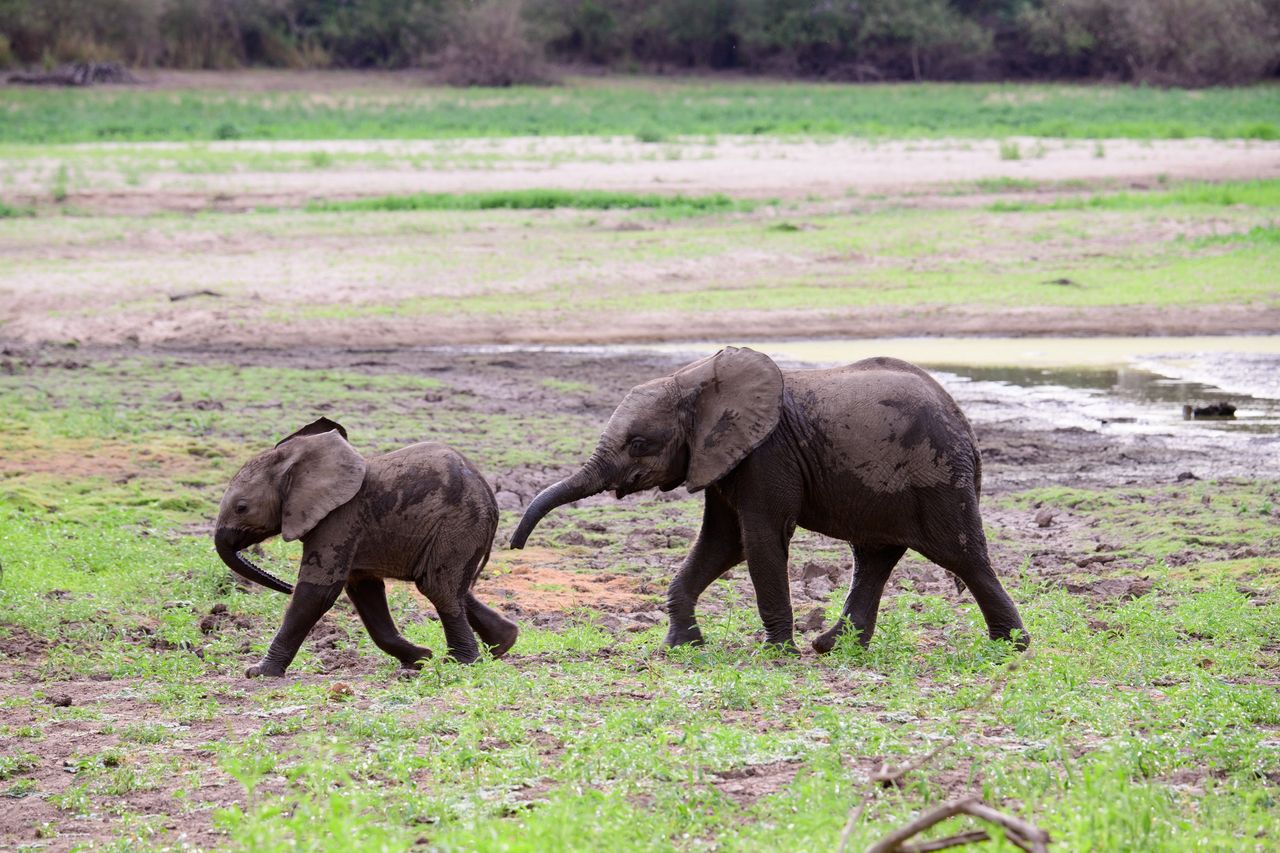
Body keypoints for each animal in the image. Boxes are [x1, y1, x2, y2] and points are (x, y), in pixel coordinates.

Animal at [213, 414, 514, 676]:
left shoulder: (341, 518)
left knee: (438, 587)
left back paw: (462, 663)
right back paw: (502, 644)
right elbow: (364, 591)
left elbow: (317, 592)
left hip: (459, 524)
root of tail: (488, 493)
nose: (286, 587)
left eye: (241, 508)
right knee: (448, 586)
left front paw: (258, 673)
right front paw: (419, 658)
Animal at [509, 345, 1029, 650]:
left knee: (963, 556)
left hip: (936, 476)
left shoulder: (766, 455)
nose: (513, 546)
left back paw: (1011, 648)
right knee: (875, 558)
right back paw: (833, 647)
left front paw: (777, 652)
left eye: (638, 444)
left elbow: (759, 540)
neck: (696, 381)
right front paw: (681, 646)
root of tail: (963, 420)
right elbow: (723, 543)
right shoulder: (722, 459)